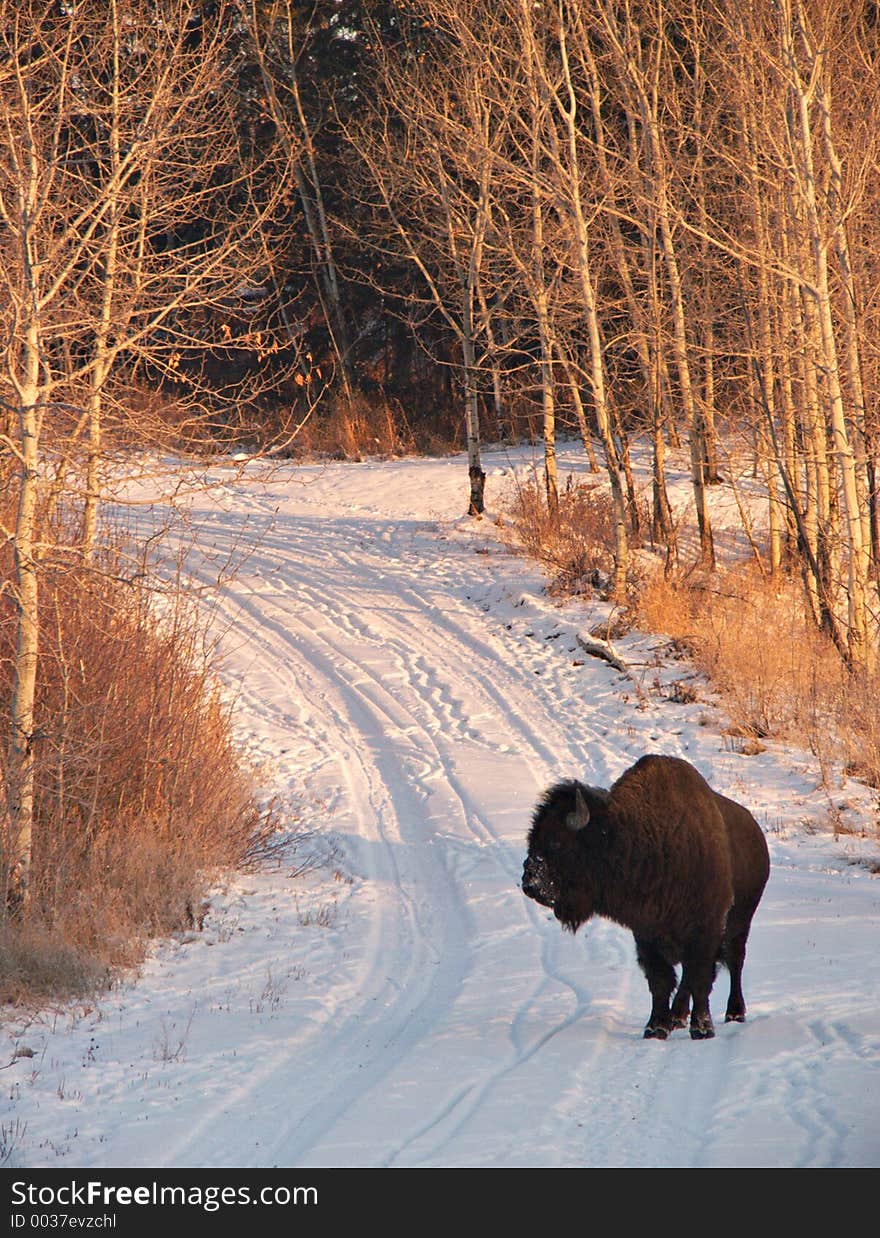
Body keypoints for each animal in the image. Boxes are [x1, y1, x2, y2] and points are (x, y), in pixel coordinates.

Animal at [522, 747, 772, 1039]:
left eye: (556, 842)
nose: (529, 884)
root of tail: (756, 833)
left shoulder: (704, 930)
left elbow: (699, 978)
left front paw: (702, 1029)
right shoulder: (646, 933)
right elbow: (661, 981)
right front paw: (656, 1028)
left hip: (740, 923)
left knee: (734, 962)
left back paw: (734, 1013)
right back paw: (678, 1016)